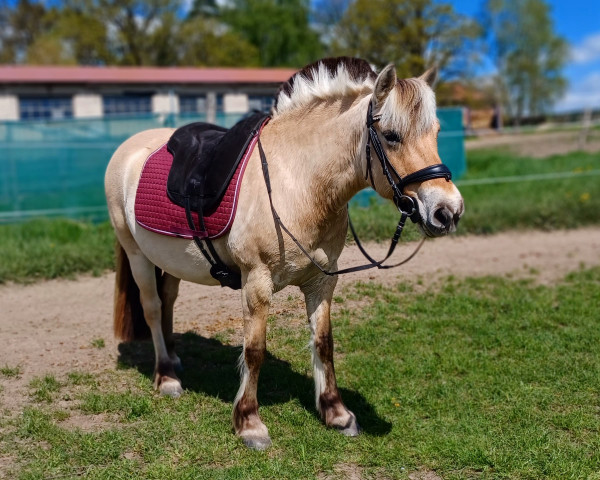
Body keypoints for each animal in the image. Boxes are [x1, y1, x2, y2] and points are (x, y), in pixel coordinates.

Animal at [105, 57, 466, 450]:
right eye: (391, 136)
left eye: (435, 132)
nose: (448, 211)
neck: (297, 181)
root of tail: (128, 148)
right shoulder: (257, 283)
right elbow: (254, 350)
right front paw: (249, 423)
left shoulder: (322, 282)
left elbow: (324, 343)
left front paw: (336, 413)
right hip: (137, 254)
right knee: (153, 308)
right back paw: (167, 376)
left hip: (169, 261)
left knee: (168, 301)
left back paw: (173, 359)